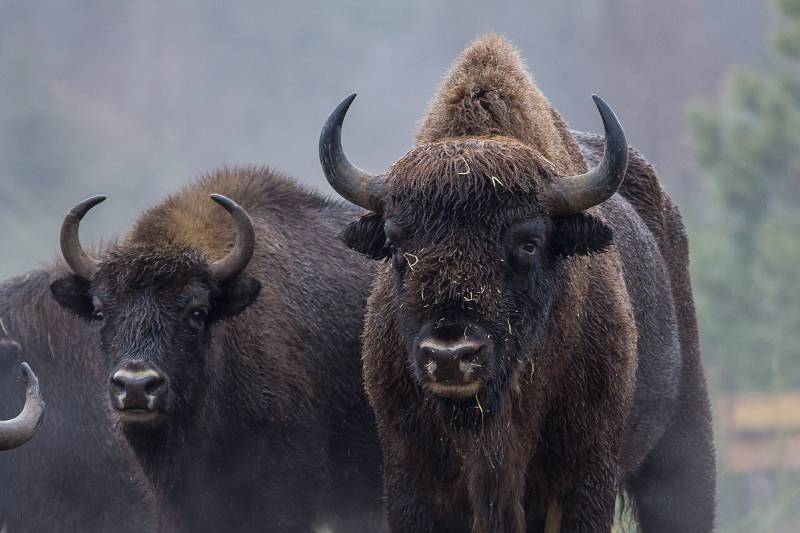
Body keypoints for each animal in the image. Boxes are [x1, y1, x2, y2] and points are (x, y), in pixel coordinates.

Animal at [318, 34, 720, 532]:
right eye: (395, 242)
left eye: (529, 242)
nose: (450, 355)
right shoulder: (411, 478)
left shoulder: (582, 478)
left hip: (685, 444)